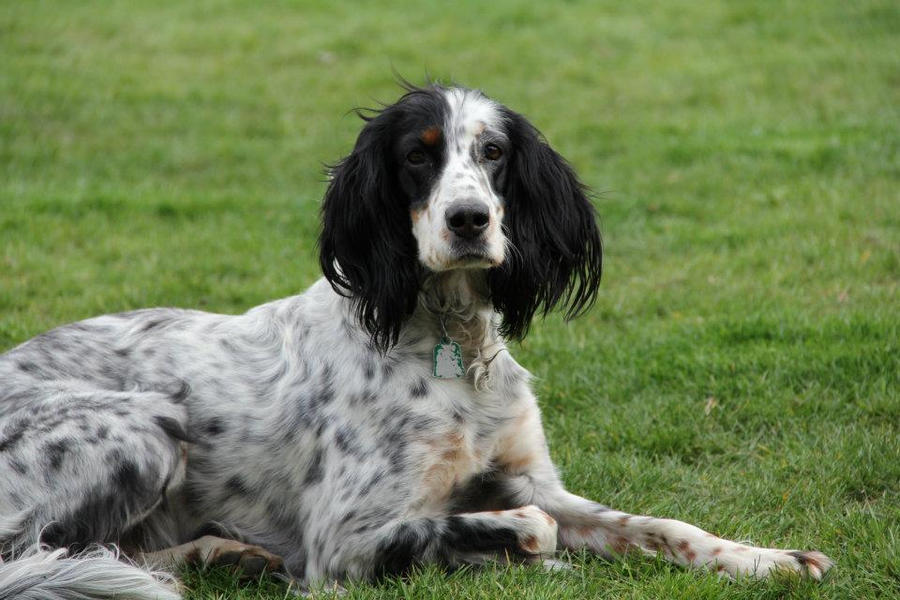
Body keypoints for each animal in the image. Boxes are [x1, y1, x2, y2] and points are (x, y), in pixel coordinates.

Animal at [0, 83, 828, 596]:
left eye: (494, 152)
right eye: (417, 155)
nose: (469, 220)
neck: (452, 346)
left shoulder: (535, 478)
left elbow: (661, 526)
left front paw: (769, 559)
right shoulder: (340, 540)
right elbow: (513, 528)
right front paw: (521, 560)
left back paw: (219, 553)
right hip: (140, 425)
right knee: (39, 550)